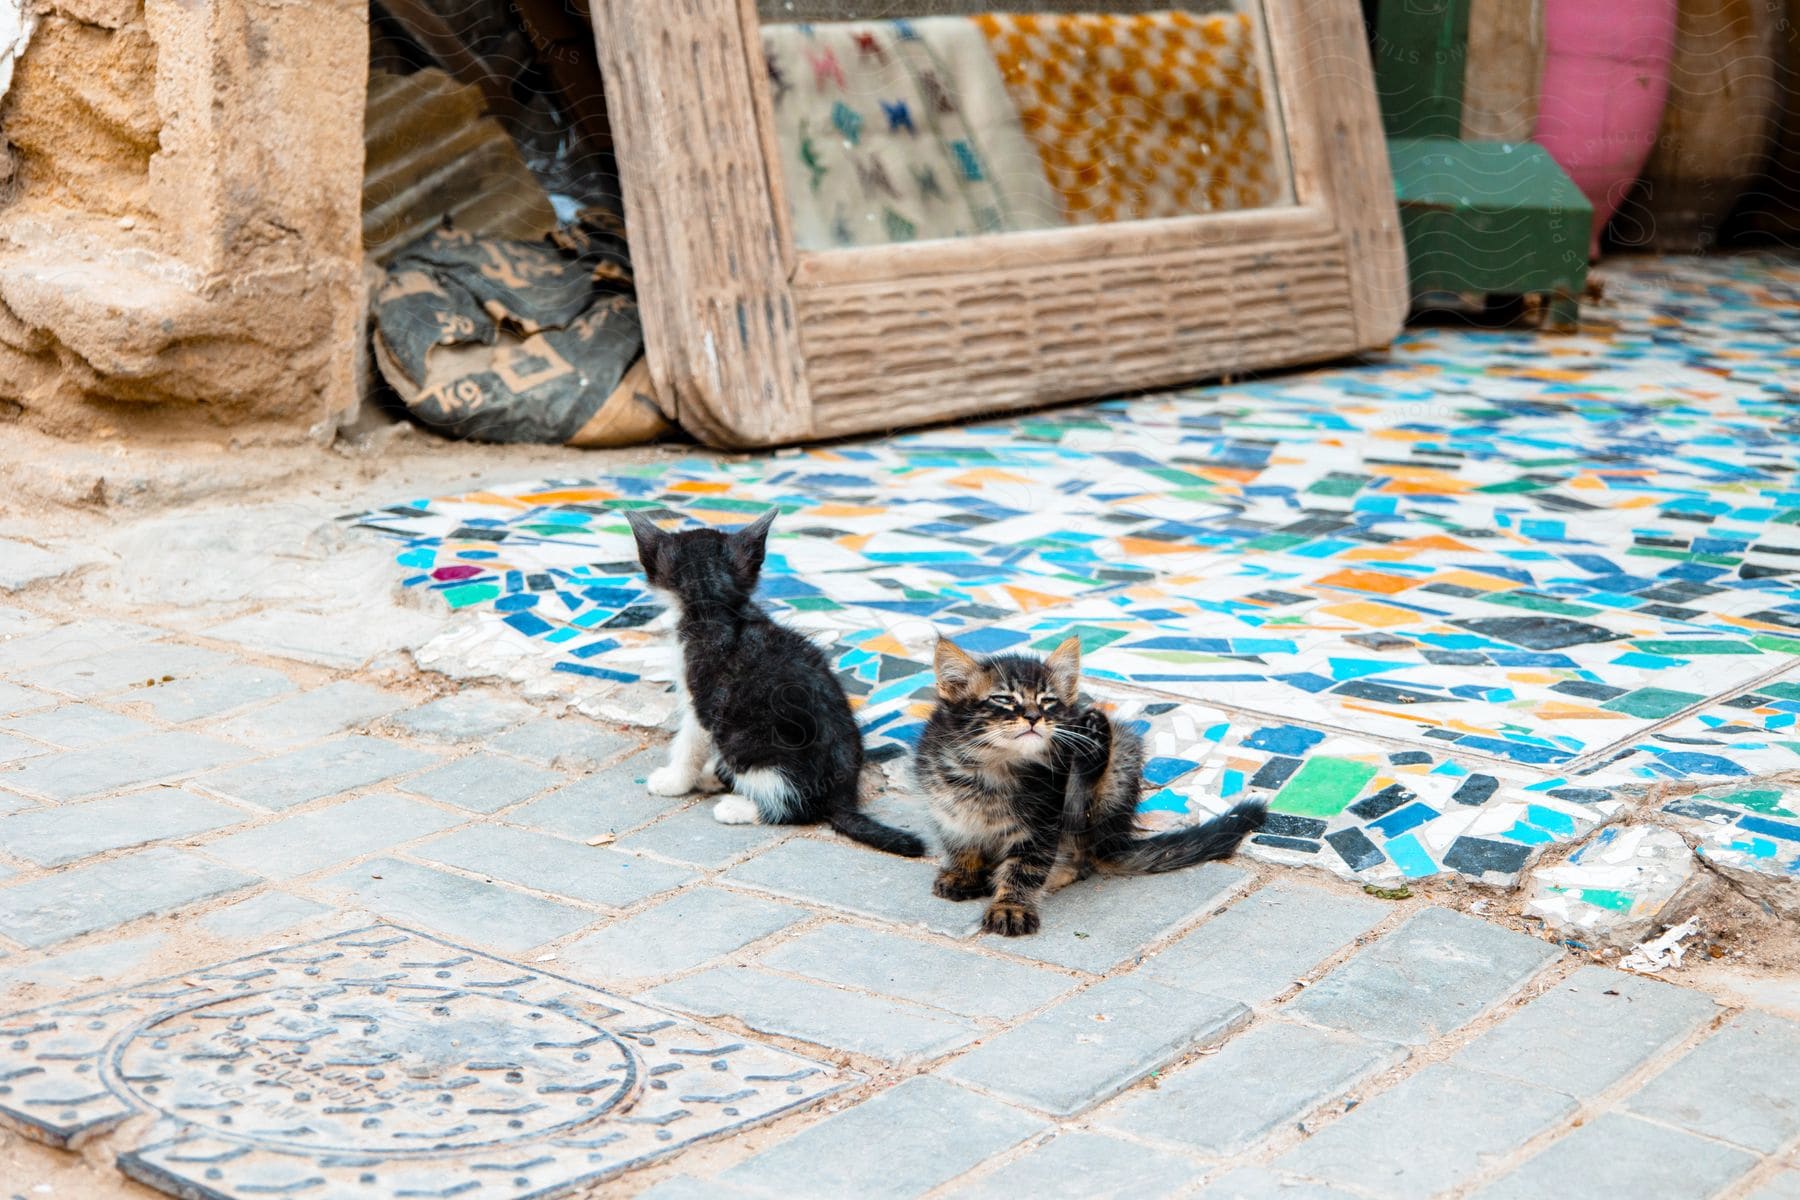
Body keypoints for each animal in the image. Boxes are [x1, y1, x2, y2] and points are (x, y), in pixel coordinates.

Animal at [626, 510, 928, 859]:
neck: (717, 610)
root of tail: (842, 797)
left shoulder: (704, 698)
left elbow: (689, 743)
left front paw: (674, 780)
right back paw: (718, 777)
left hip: (754, 747)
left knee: (797, 808)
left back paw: (738, 807)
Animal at [914, 636, 1267, 935]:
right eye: (1003, 699)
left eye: (1048, 701)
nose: (1033, 716)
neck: (990, 767)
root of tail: (1113, 840)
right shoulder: (947, 810)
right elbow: (962, 845)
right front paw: (964, 872)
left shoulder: (1042, 825)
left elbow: (1025, 868)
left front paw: (1011, 905)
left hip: (1118, 757)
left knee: (1081, 847)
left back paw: (1093, 748)